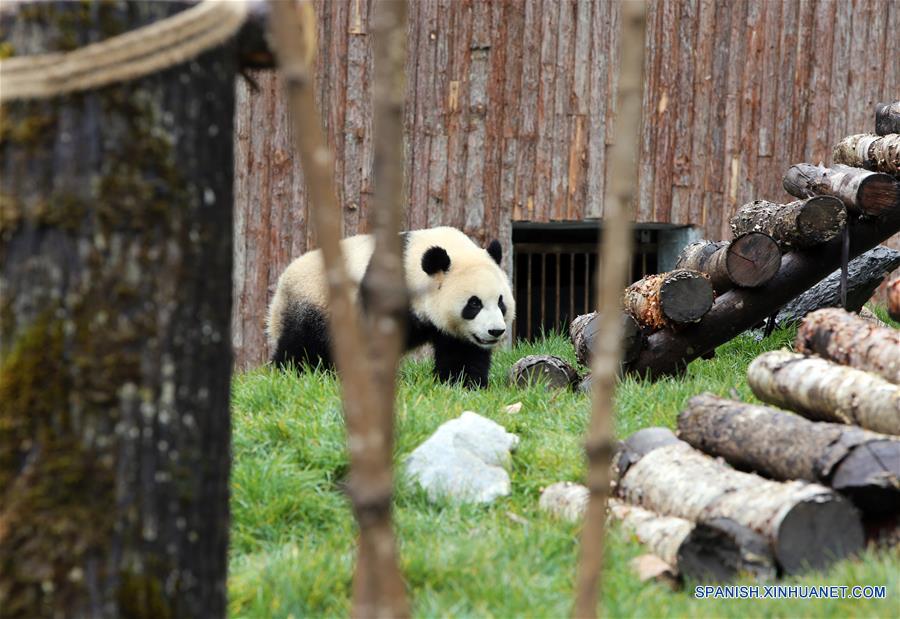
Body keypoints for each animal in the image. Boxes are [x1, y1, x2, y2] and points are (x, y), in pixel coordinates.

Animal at [266, 226, 516, 388]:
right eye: (474, 303)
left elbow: (461, 350)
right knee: (302, 345)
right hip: (314, 302)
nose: (495, 331)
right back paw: (290, 373)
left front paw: (463, 383)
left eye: (501, 302)